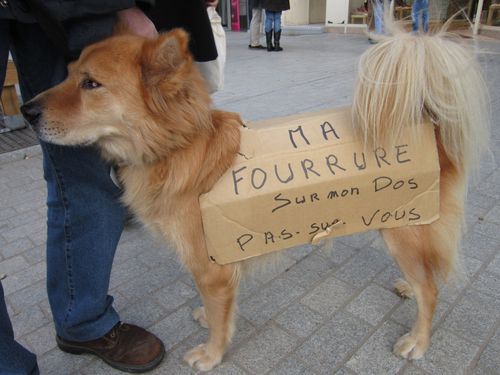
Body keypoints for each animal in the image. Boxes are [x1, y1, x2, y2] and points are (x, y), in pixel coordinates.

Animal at [20, 27, 488, 372]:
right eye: (69, 74)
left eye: (91, 84)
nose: (26, 111)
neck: (178, 147)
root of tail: (427, 117)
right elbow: (214, 311)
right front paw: (204, 317)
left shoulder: (211, 269)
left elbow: (219, 319)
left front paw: (211, 354)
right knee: (428, 270)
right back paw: (407, 286)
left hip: (402, 226)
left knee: (432, 288)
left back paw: (418, 339)